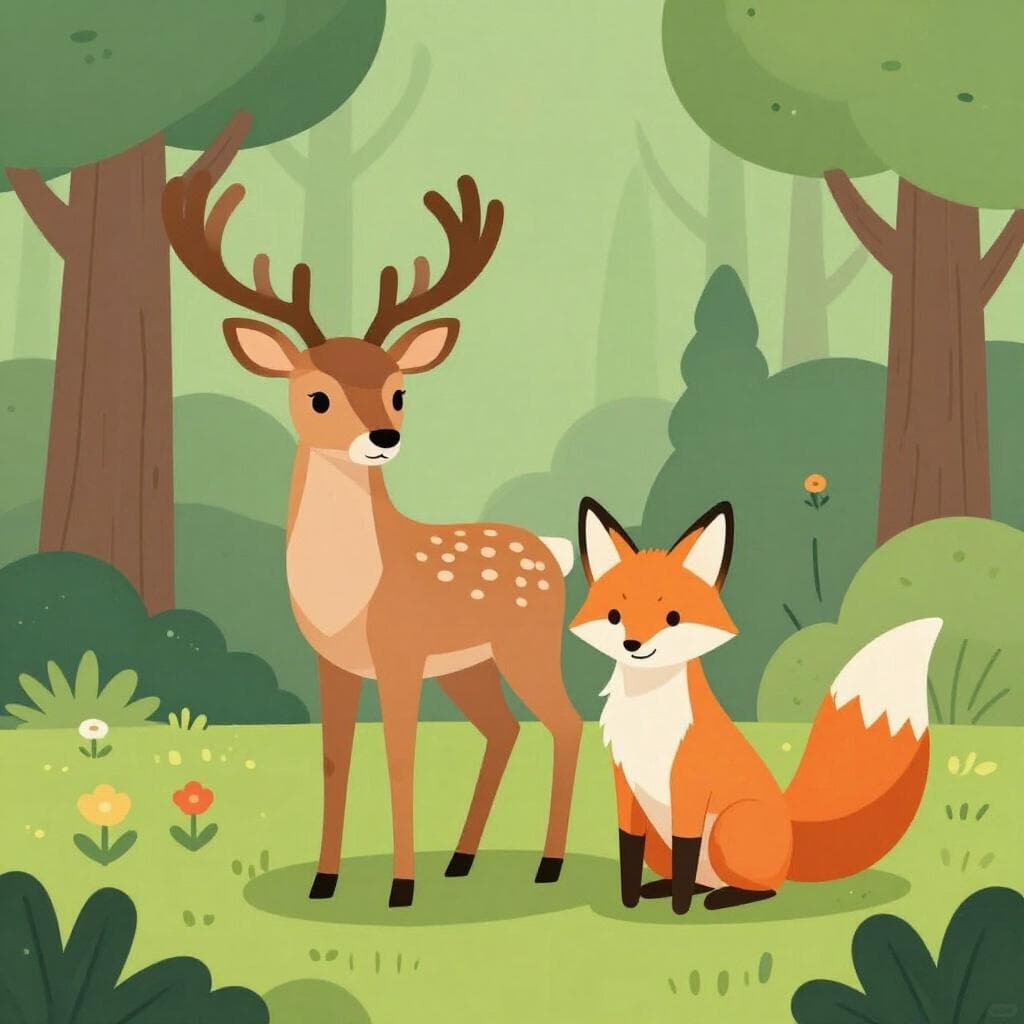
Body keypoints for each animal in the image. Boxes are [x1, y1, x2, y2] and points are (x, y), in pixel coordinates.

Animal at [162, 171, 582, 908]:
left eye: (400, 392)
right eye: (318, 396)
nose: (383, 438)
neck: (348, 593)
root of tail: (553, 552)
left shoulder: (400, 653)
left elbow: (400, 757)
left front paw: (401, 887)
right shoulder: (333, 661)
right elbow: (336, 759)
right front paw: (325, 880)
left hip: (527, 643)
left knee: (566, 722)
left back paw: (548, 865)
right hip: (471, 665)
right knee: (505, 729)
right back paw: (462, 860)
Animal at [570, 497, 942, 914]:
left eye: (673, 618)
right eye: (615, 616)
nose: (633, 645)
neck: (649, 716)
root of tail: (790, 830)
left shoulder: (689, 788)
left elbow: (685, 850)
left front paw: (679, 910)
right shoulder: (624, 784)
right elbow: (628, 850)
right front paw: (630, 902)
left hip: (729, 827)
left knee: (764, 886)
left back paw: (726, 898)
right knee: (700, 877)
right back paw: (674, 888)